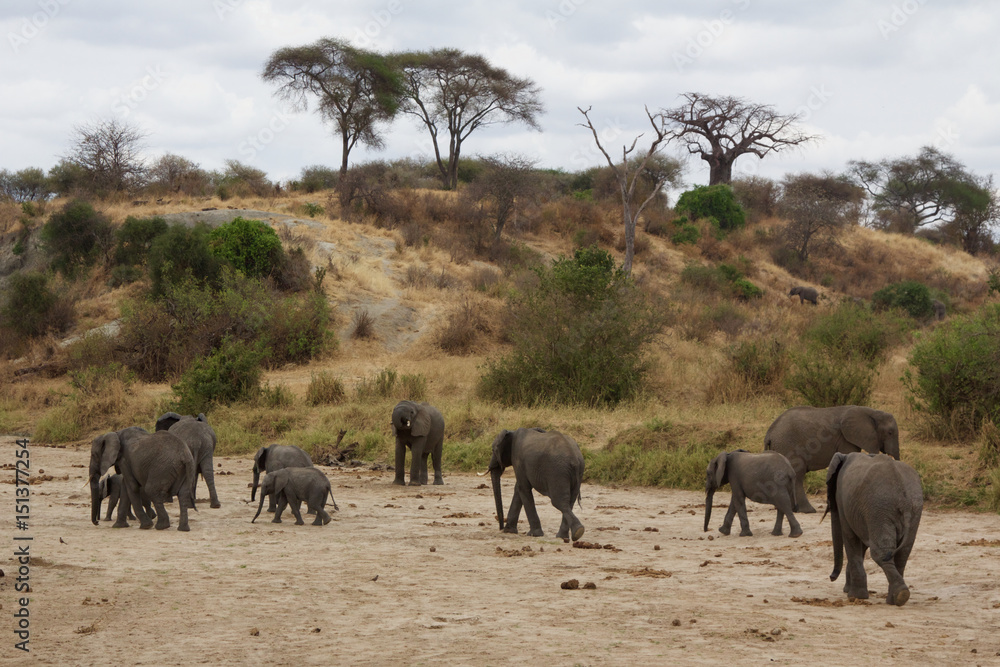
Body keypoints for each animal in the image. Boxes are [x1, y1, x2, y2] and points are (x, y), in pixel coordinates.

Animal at [764, 405, 900, 514]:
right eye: (890, 433)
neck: (871, 412)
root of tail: (769, 434)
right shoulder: (846, 439)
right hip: (789, 446)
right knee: (797, 475)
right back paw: (808, 510)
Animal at [825, 452, 923, 605]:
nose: (831, 577)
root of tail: (904, 499)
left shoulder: (844, 502)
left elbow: (850, 538)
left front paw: (855, 596)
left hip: (879, 509)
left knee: (880, 553)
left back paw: (899, 596)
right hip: (913, 509)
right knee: (903, 553)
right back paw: (897, 598)